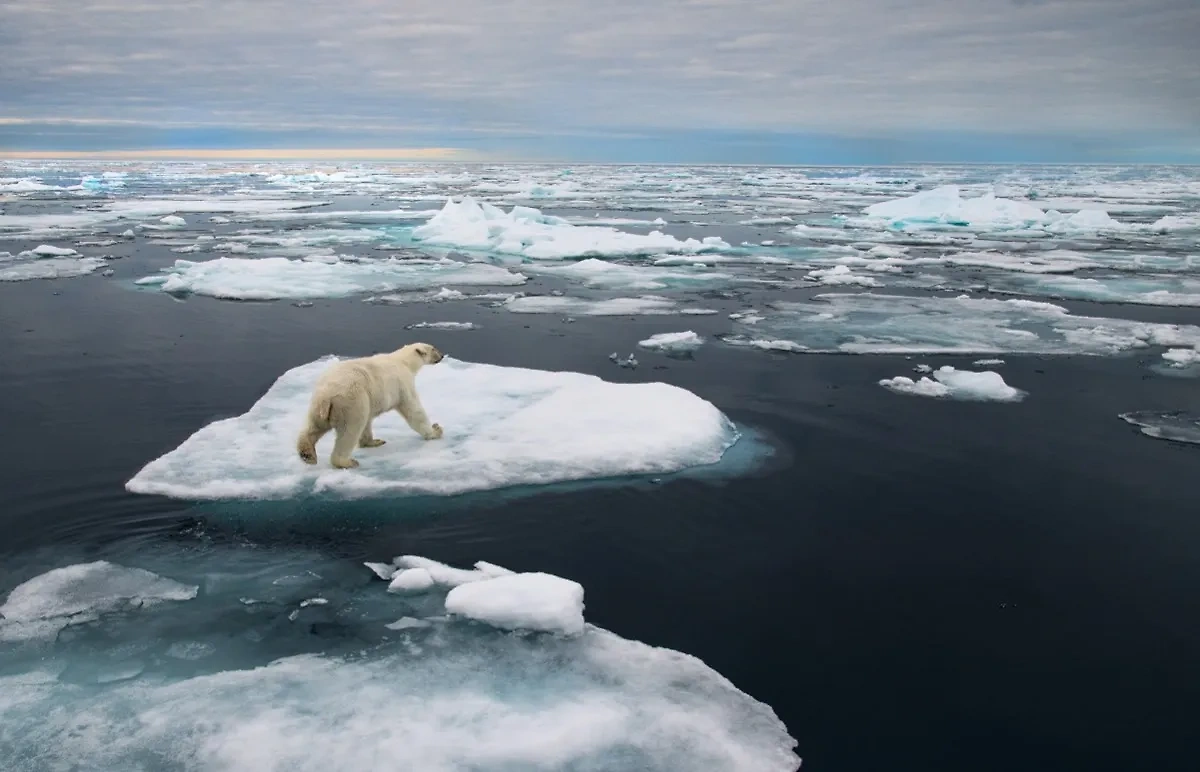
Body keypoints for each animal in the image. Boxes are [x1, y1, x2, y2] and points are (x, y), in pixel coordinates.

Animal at [297, 343, 448, 470]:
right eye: (433, 348)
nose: (442, 355)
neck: (404, 361)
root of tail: (326, 396)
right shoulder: (403, 384)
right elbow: (414, 410)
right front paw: (436, 430)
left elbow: (368, 421)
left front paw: (372, 442)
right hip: (351, 402)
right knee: (350, 431)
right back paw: (347, 462)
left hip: (318, 406)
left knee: (312, 428)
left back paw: (307, 454)